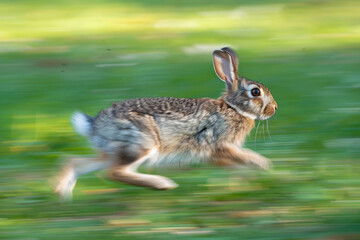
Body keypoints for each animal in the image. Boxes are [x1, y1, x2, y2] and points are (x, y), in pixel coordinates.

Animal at [54, 47, 278, 201]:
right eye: (255, 92)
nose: (274, 108)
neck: (232, 108)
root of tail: (94, 125)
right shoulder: (218, 144)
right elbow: (244, 157)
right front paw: (264, 166)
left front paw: (245, 181)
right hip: (142, 143)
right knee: (113, 172)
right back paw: (162, 184)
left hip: (112, 151)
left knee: (77, 162)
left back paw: (63, 194)